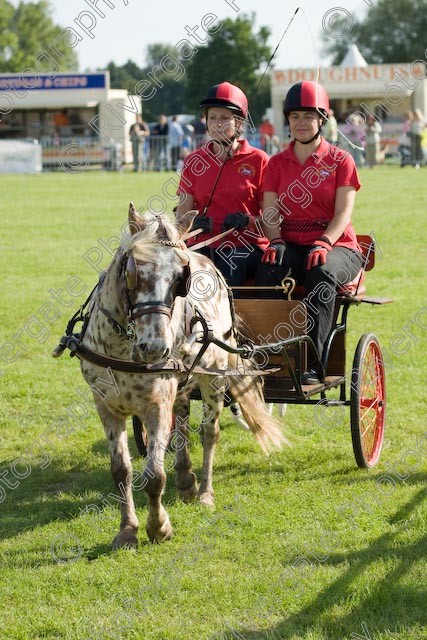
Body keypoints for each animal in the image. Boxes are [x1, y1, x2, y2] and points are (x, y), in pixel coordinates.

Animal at [79, 205, 290, 552]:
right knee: (181, 425)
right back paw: (185, 478)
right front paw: (127, 530)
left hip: (214, 379)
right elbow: (121, 470)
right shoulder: (105, 405)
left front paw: (159, 527)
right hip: (181, 382)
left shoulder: (155, 403)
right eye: (133, 270)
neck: (122, 347)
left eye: (181, 277)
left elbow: (154, 475)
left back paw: (204, 492)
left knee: (208, 433)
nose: (155, 347)